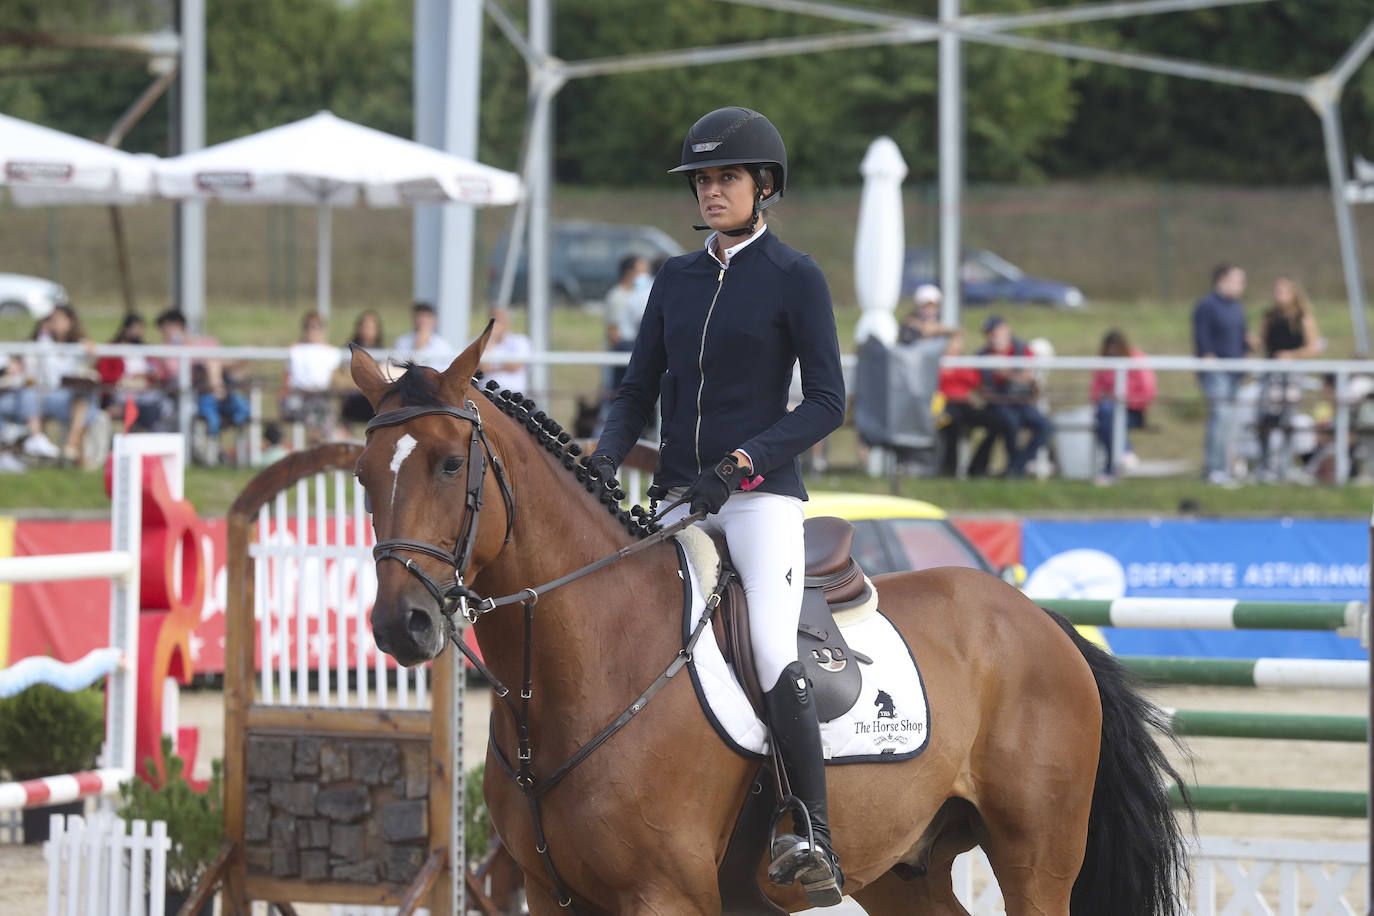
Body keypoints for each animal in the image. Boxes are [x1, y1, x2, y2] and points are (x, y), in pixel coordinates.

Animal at [348, 328, 1191, 916]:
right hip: (905, 867)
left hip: (1036, 858)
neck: (582, 665)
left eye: (450, 465)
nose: (400, 625)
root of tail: (1041, 621)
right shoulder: (557, 896)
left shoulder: (664, 897)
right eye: (361, 474)